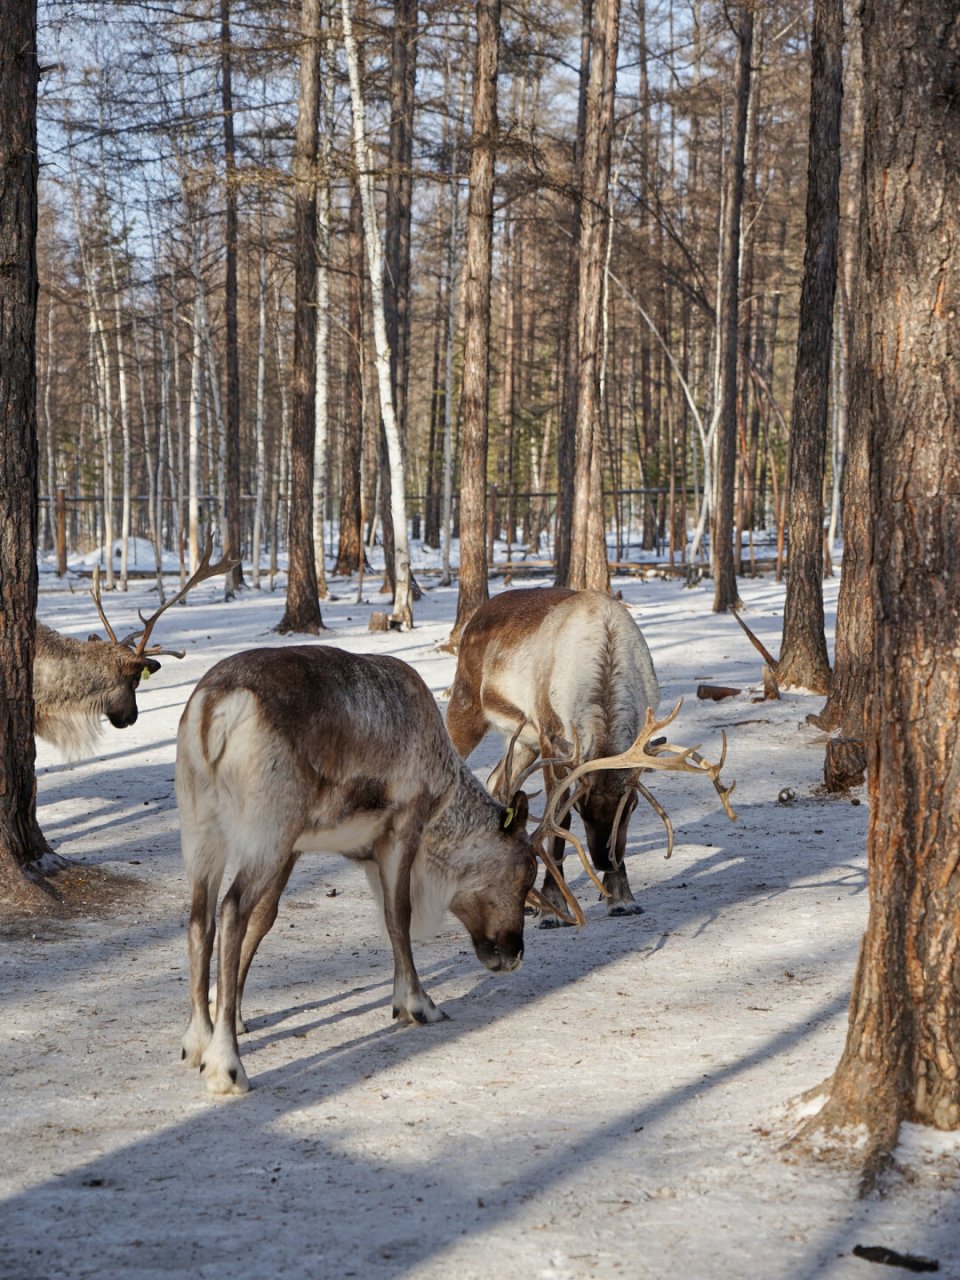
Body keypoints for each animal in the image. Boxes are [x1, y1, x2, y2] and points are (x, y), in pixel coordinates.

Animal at [446, 587, 737, 924]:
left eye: (631, 807)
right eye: (582, 809)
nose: (604, 862)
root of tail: (476, 617)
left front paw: (621, 898)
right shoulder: (551, 739)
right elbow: (559, 818)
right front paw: (553, 907)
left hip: (522, 740)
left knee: (497, 782)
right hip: (466, 708)